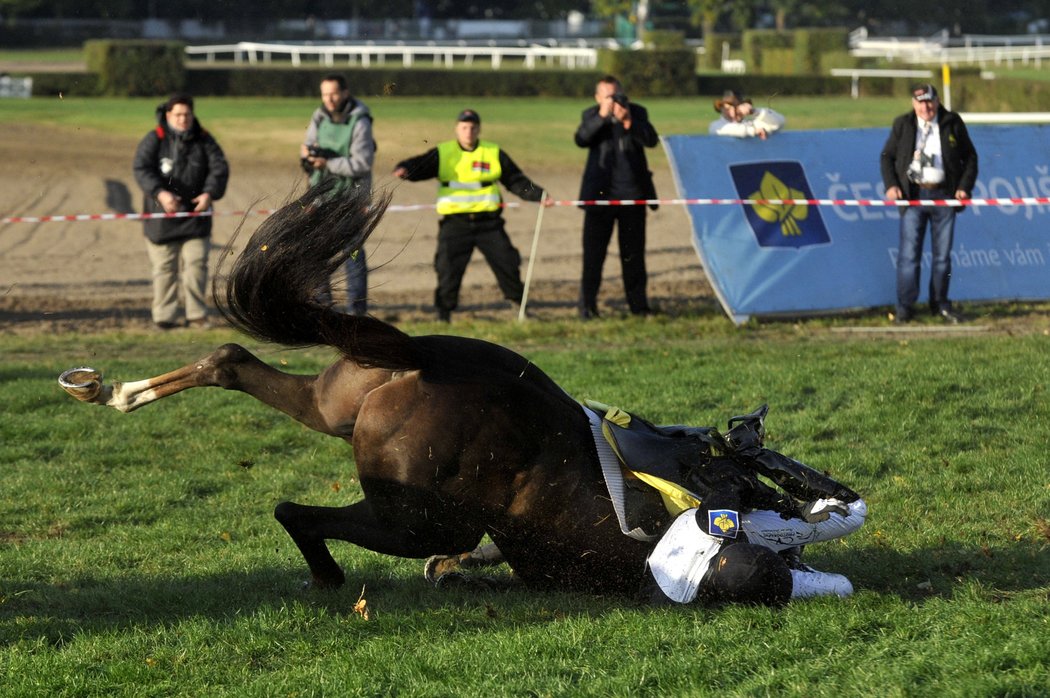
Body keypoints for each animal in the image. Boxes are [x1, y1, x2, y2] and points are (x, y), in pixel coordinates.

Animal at [59, 183, 663, 591]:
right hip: (422, 518)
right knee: (303, 513)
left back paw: (116, 391)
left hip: (341, 408)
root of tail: (425, 359)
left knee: (234, 367)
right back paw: (329, 577)